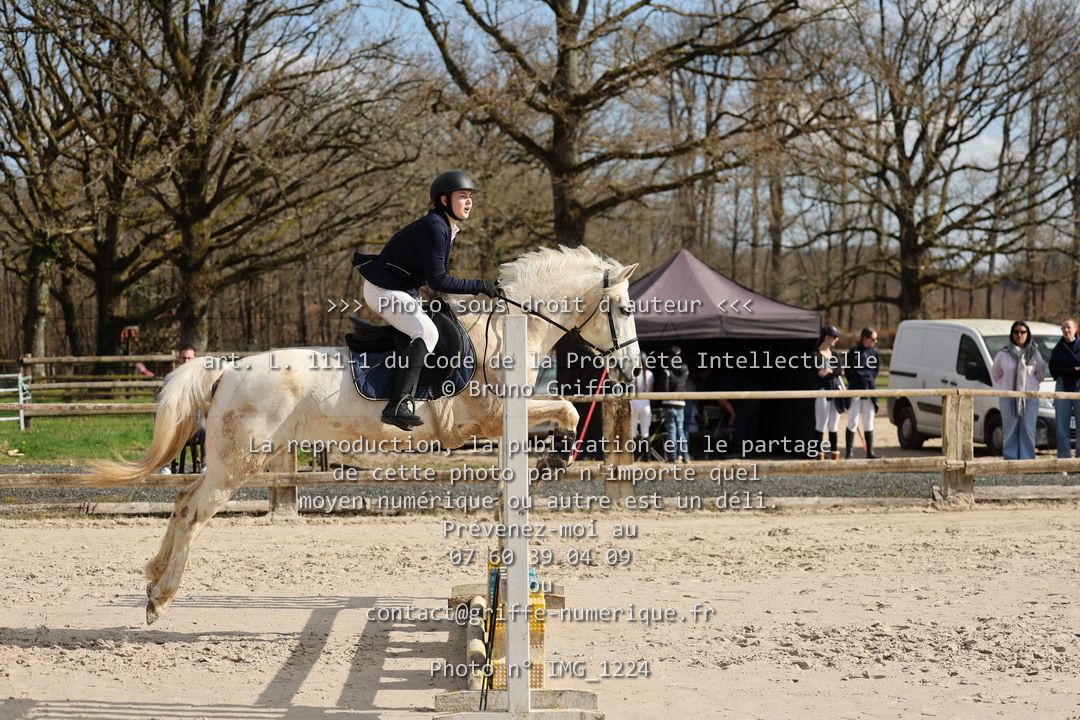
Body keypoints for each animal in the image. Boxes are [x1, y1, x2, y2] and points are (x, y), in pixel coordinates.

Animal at [88, 245, 642, 624]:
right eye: (625, 309)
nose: (634, 371)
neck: (509, 332)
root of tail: (227, 368)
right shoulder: (492, 420)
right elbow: (566, 408)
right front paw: (555, 460)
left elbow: (562, 414)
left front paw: (551, 462)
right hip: (239, 461)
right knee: (192, 512)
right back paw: (160, 599)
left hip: (231, 459)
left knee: (182, 500)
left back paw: (151, 578)